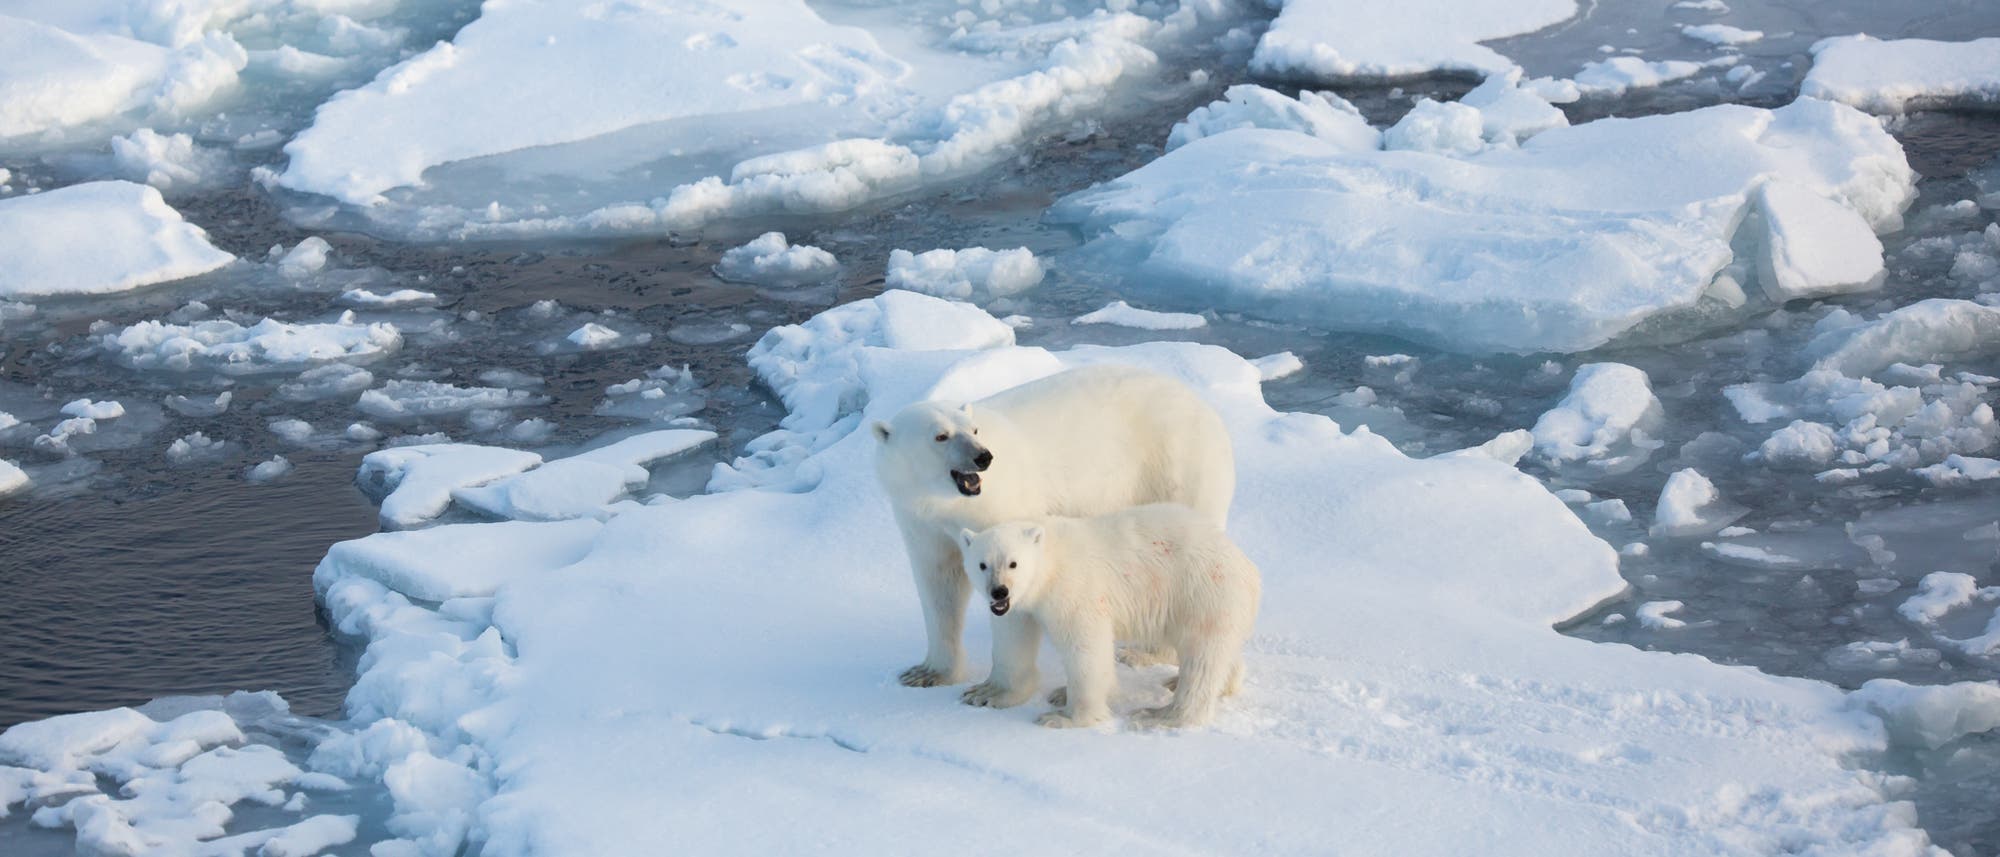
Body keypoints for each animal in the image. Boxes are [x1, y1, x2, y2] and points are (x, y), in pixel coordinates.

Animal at [876, 364, 1232, 704]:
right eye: (941, 436)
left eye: (973, 429)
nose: (983, 456)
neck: (951, 502)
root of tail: (1204, 406)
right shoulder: (921, 520)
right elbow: (940, 584)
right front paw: (927, 673)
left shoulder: (1001, 508)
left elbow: (1014, 582)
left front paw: (993, 691)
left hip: (1175, 464)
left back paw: (1145, 652)